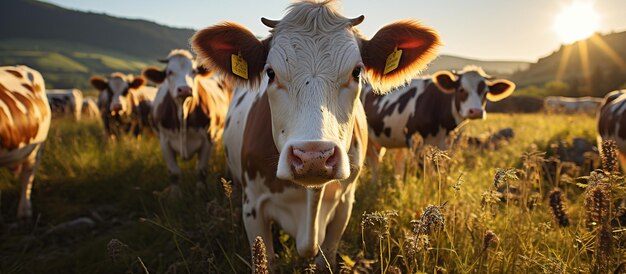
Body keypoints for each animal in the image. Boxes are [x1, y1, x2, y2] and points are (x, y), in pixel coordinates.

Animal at [143, 49, 233, 198]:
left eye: (194, 71)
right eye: (169, 72)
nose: (185, 89)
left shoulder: (208, 140)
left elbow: (201, 170)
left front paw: (200, 192)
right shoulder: (164, 142)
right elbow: (174, 173)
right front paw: (175, 196)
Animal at [190, 0, 438, 268]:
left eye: (356, 72)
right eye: (270, 73)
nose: (313, 157)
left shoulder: (344, 205)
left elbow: (326, 257)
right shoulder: (252, 207)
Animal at [360, 65, 512, 179]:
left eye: (485, 93)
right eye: (461, 89)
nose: (476, 111)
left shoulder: (445, 145)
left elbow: (441, 169)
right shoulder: (414, 141)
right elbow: (424, 171)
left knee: (395, 160)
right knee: (373, 161)